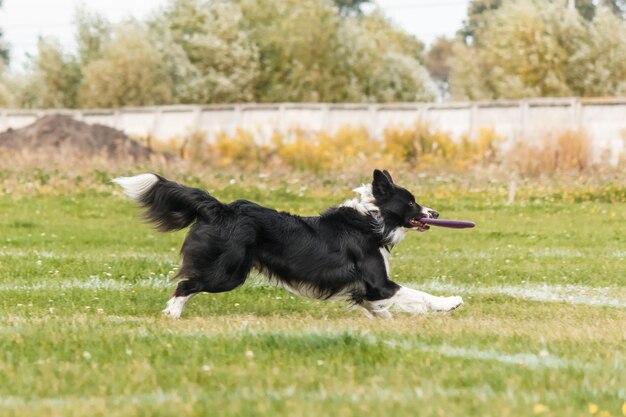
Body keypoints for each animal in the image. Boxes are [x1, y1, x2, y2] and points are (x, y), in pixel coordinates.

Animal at [112, 170, 460, 318]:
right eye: (412, 203)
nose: (436, 213)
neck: (374, 217)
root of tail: (221, 208)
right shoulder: (379, 284)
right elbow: (418, 294)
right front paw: (450, 302)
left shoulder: (366, 290)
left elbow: (378, 308)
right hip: (228, 272)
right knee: (185, 284)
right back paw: (171, 314)